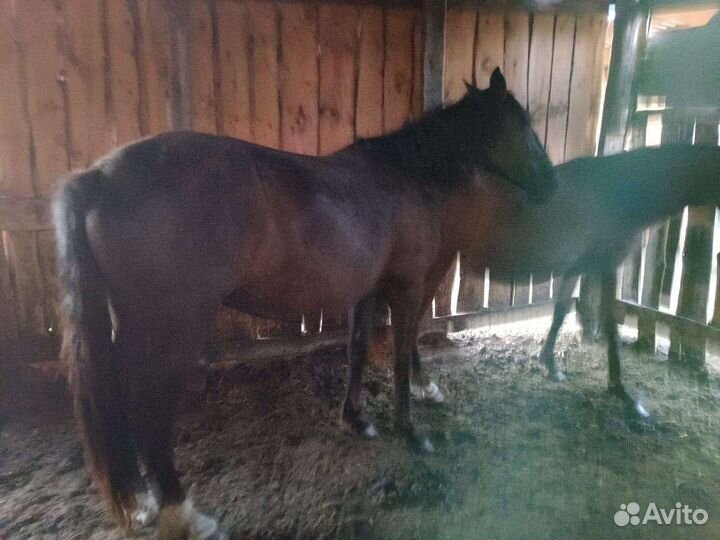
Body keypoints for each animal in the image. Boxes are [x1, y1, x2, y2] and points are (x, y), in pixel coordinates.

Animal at [53, 68, 556, 540]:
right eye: (524, 124)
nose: (551, 184)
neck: (405, 176)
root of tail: (95, 178)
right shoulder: (407, 288)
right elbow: (397, 357)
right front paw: (411, 431)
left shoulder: (364, 293)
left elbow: (356, 351)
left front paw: (356, 419)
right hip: (171, 330)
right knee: (148, 415)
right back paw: (184, 514)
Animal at [403, 144, 720, 420]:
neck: (619, 194)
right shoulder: (607, 266)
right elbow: (610, 325)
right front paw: (622, 392)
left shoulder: (576, 268)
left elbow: (560, 311)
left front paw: (550, 365)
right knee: (412, 322)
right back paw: (423, 385)